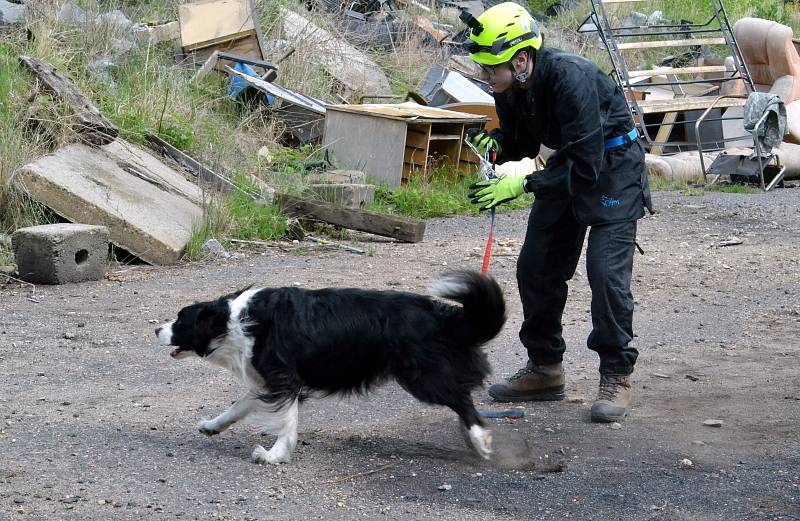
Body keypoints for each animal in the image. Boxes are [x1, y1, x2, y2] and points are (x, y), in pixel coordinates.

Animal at [155, 270, 506, 466]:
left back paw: (480, 440)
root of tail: (442, 315)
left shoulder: (285, 379)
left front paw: (275, 455)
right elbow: (239, 406)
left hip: (422, 376)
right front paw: (212, 425)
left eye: (181, 320)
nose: (156, 329)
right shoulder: (268, 382)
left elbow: (286, 421)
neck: (232, 320)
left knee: (462, 400)